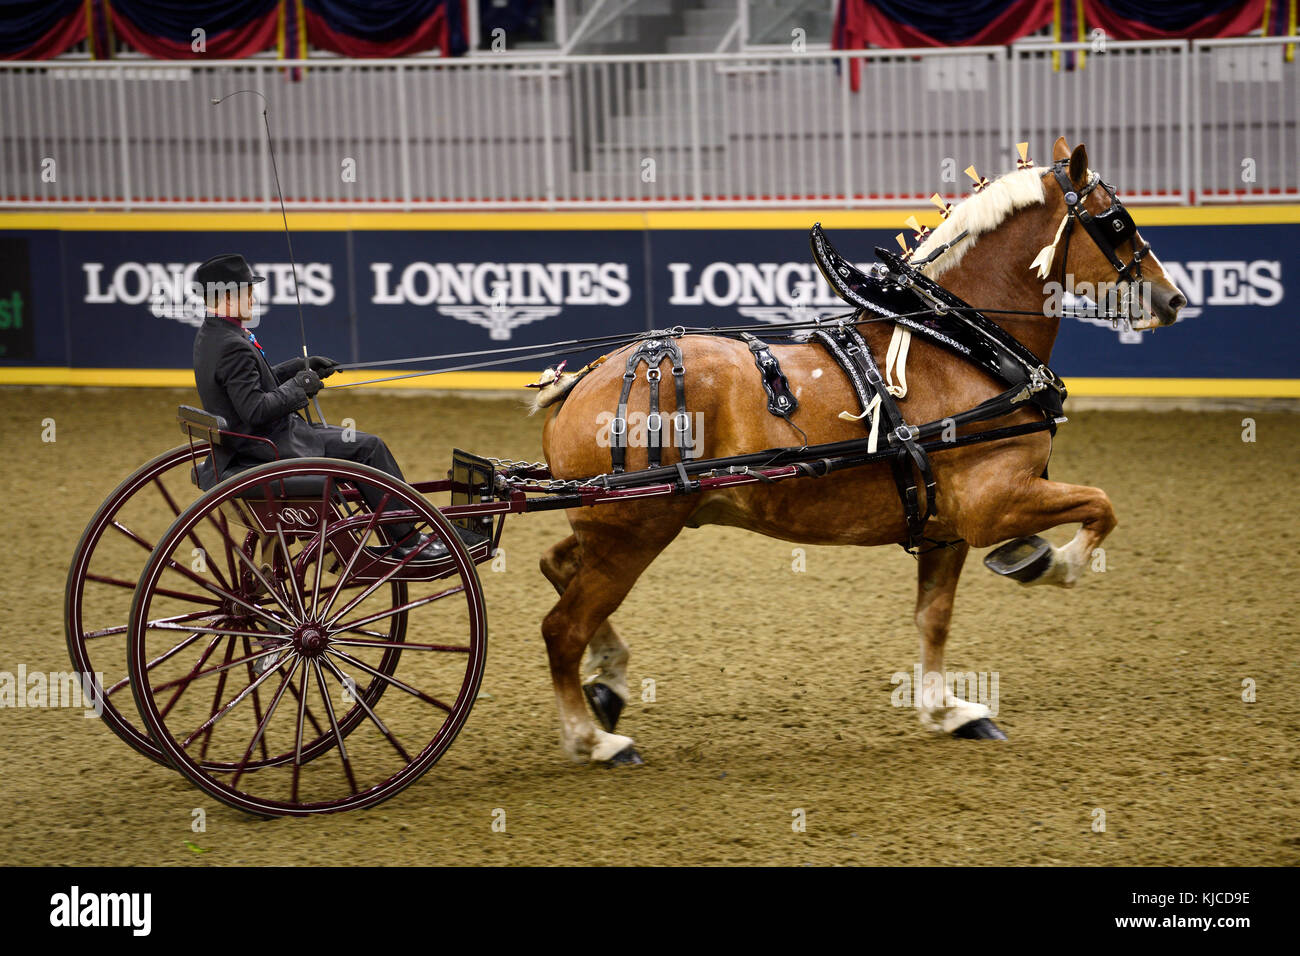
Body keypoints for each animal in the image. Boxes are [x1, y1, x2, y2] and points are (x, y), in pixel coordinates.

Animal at [535, 137, 1187, 764]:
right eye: (1118, 222)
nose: (1174, 299)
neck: (959, 346)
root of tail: (585, 382)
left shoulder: (945, 526)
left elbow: (933, 617)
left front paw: (948, 711)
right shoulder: (992, 504)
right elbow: (1101, 504)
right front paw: (1056, 565)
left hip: (613, 527)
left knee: (557, 568)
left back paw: (607, 684)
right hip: (634, 534)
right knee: (563, 628)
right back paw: (593, 740)